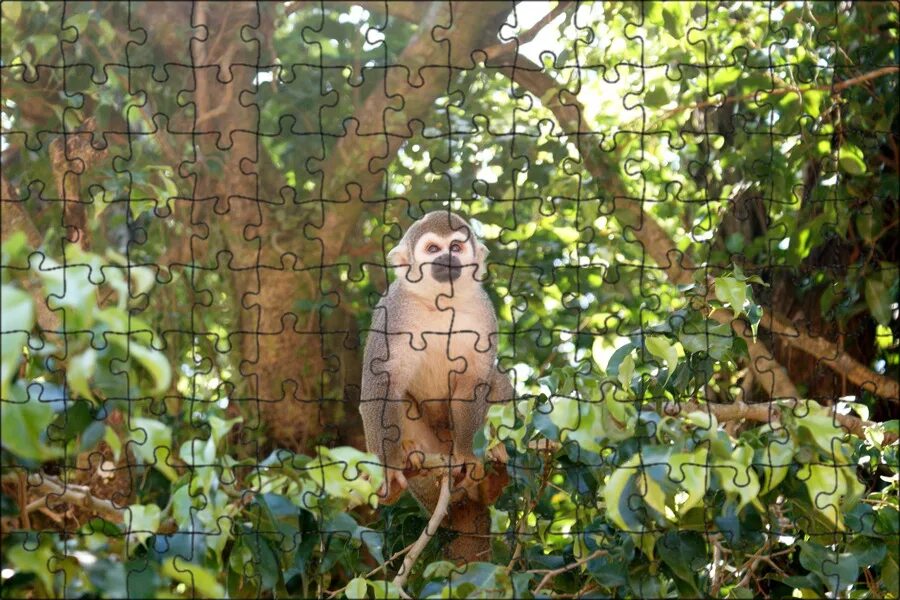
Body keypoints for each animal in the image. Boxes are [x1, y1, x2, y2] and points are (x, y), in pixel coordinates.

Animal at [359, 211, 512, 511]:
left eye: (455, 247)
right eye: (432, 249)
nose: (446, 258)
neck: (440, 302)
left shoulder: (483, 312)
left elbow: (472, 383)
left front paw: (468, 456)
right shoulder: (394, 309)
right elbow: (381, 381)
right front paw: (387, 469)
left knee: (495, 374)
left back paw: (491, 481)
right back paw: (410, 456)